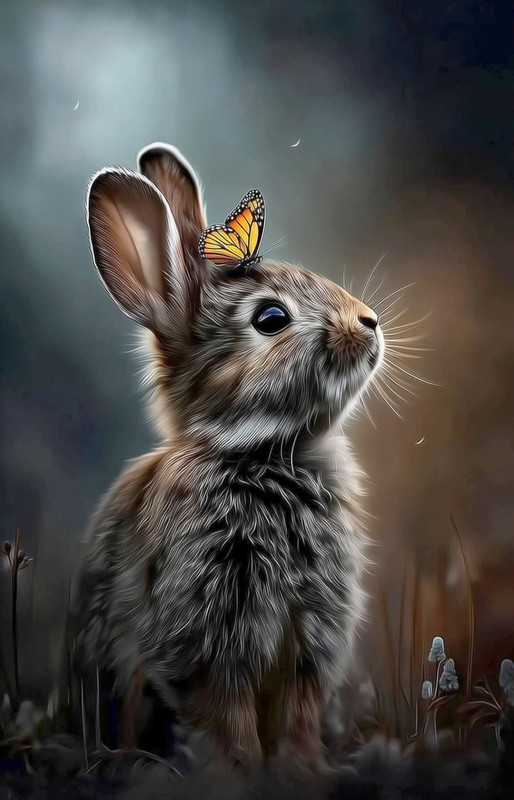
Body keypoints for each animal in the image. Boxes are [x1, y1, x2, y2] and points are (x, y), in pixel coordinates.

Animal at [66, 141, 385, 775]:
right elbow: (225, 710)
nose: (370, 324)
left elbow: (299, 711)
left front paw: (306, 769)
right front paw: (240, 770)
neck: (260, 452)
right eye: (270, 319)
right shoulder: (208, 636)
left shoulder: (310, 636)